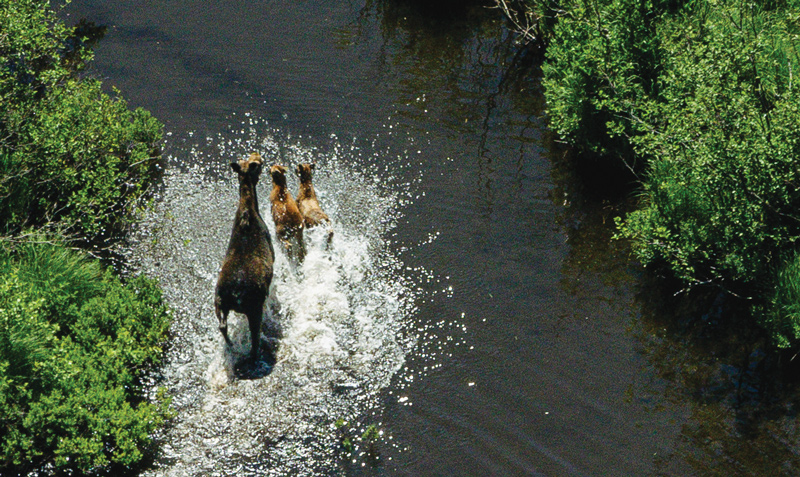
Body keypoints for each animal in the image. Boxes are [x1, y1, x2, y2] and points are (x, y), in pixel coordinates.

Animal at [214, 152, 275, 362]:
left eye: (247, 160)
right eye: (257, 164)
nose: (260, 156)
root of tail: (235, 295)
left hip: (218, 300)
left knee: (222, 325)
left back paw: (231, 346)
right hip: (253, 307)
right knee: (255, 336)